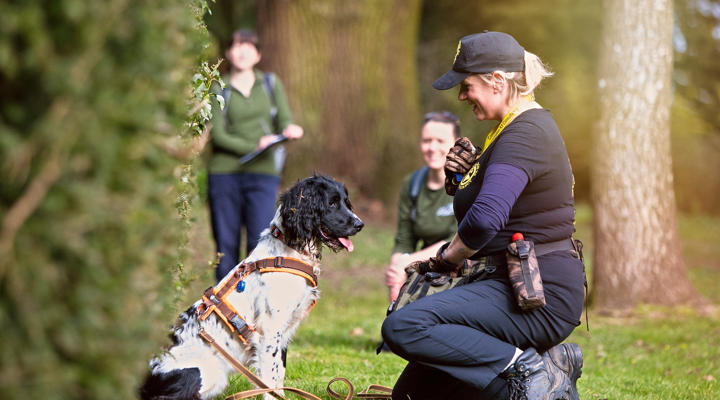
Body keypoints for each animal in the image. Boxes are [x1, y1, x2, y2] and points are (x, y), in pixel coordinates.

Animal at [139, 176, 366, 400]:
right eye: (331, 203)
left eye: (346, 202)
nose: (359, 224)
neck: (289, 250)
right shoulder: (270, 331)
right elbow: (271, 383)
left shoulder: (283, 334)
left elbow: (278, 378)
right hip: (208, 375)